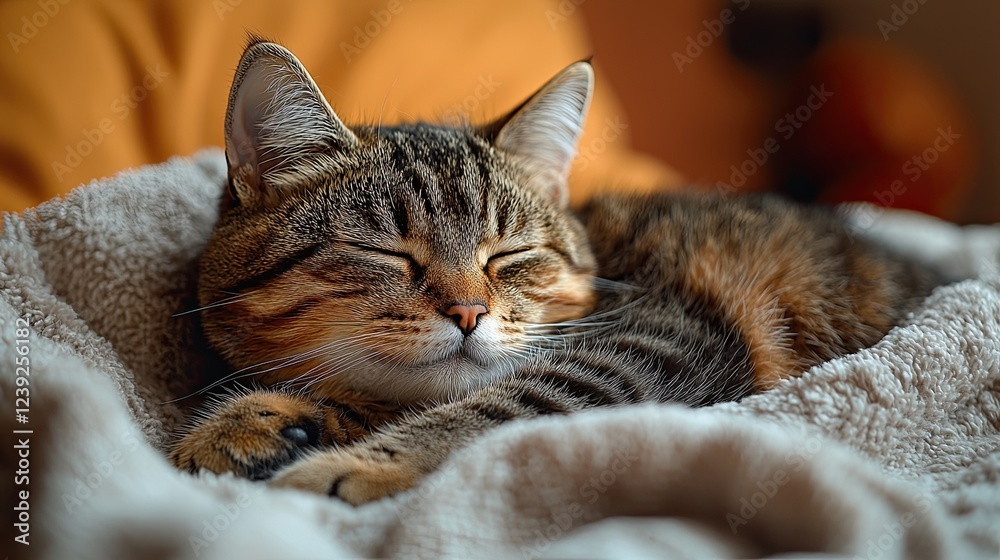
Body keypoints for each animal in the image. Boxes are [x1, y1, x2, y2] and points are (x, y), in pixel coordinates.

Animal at [168, 39, 932, 504]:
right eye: (387, 254)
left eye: (508, 255)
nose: (468, 313)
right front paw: (253, 422)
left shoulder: (658, 339)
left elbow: (501, 404)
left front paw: (343, 464)